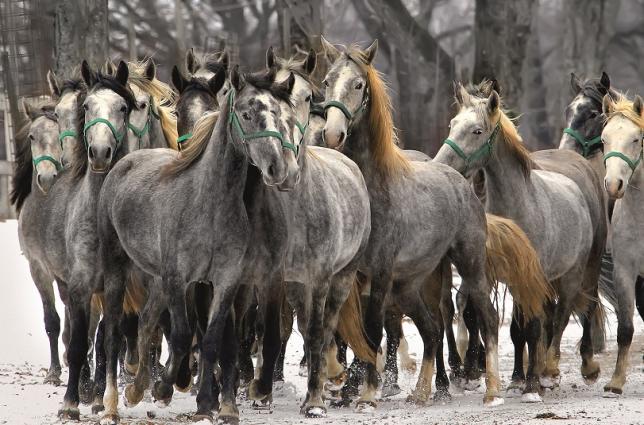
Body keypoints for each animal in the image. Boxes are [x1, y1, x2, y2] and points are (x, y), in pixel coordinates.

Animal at [436, 80, 608, 400]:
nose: (442, 165)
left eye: (477, 130)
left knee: (565, 314)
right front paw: (508, 378)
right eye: (452, 124)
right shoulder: (490, 275)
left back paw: (554, 371)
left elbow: (531, 327)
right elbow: (498, 323)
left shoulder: (528, 277)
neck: (519, 210)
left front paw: (532, 384)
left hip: (577, 273)